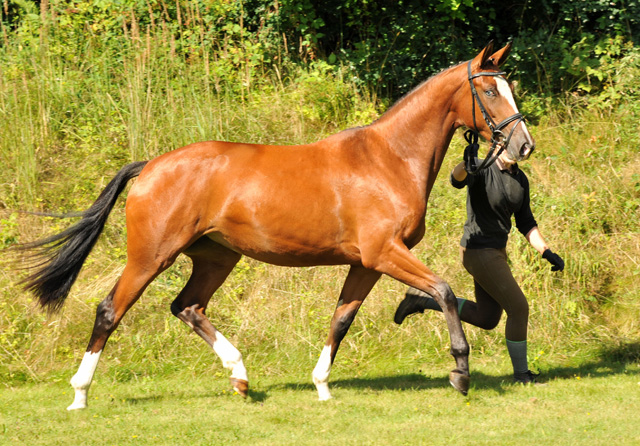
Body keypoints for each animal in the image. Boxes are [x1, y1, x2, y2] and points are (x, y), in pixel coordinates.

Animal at [18, 42, 536, 412]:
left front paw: (322, 385)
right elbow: (444, 290)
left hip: (216, 256)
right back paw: (80, 394)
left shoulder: (366, 263)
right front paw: (460, 371)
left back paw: (240, 376)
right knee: (111, 310)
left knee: (187, 307)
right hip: (150, 256)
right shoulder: (385, 252)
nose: (523, 145)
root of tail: (149, 167)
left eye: (509, 88)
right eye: (490, 91)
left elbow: (341, 319)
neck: (388, 159)